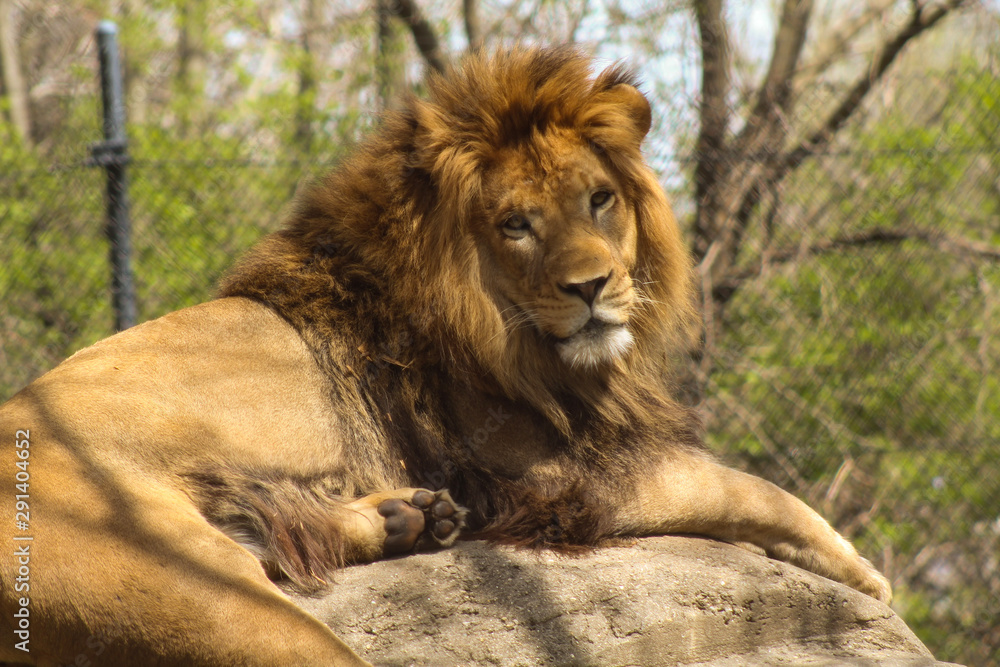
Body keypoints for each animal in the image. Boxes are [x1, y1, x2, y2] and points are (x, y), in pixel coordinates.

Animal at [0, 47, 890, 666]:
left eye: (599, 199)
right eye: (516, 225)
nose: (592, 286)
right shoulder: (555, 478)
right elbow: (746, 486)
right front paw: (865, 574)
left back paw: (405, 517)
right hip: (201, 594)